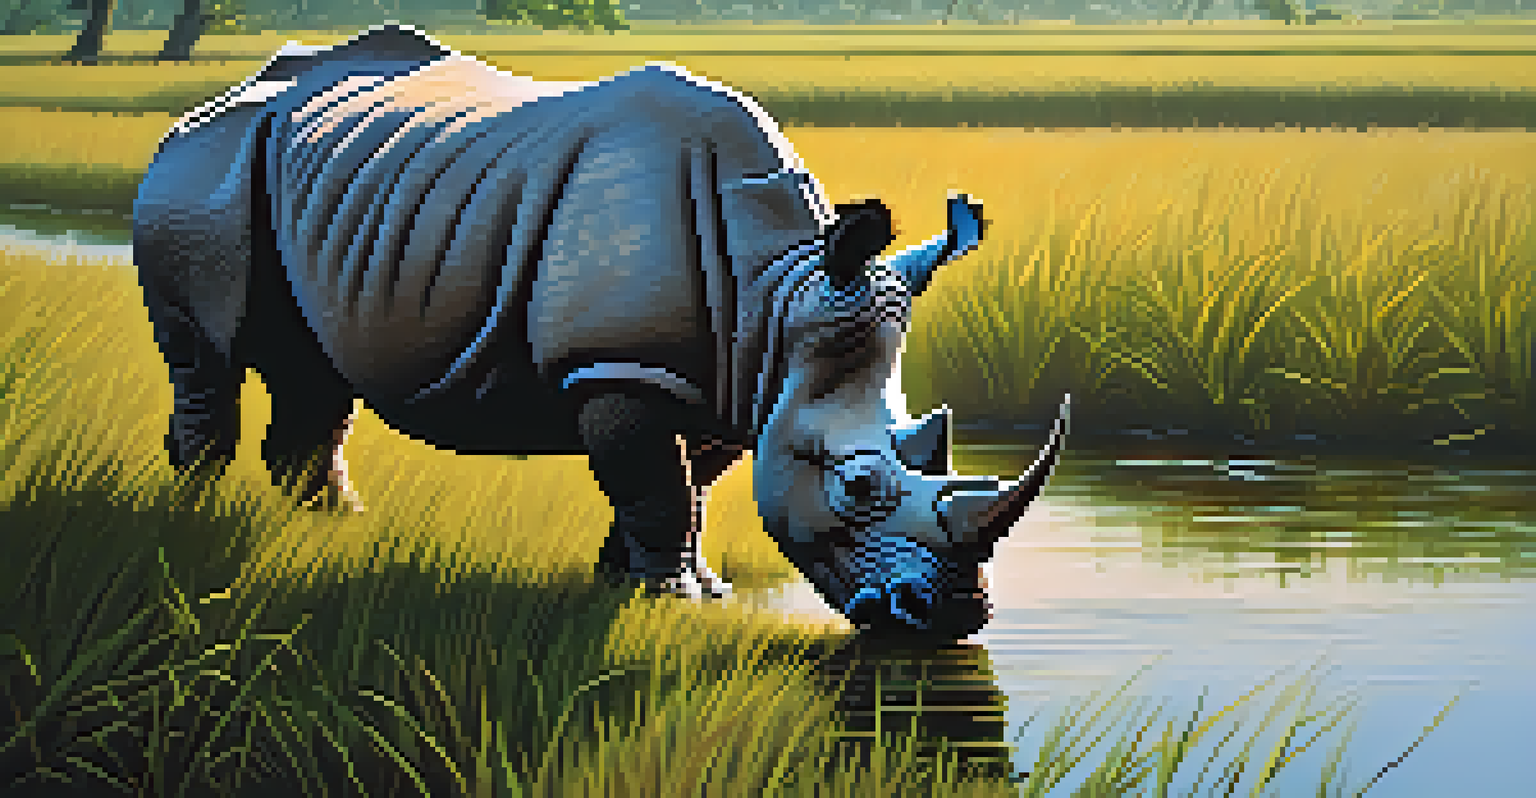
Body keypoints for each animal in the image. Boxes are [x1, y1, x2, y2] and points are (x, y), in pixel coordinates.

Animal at [133, 25, 1069, 639]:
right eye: (859, 485)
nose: (956, 619)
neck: (779, 295)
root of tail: (227, 93)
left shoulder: (724, 378)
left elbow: (686, 485)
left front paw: (651, 583)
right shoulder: (622, 366)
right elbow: (657, 484)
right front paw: (679, 602)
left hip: (336, 179)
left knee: (315, 373)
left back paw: (332, 527)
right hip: (204, 166)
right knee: (207, 354)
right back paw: (194, 519)